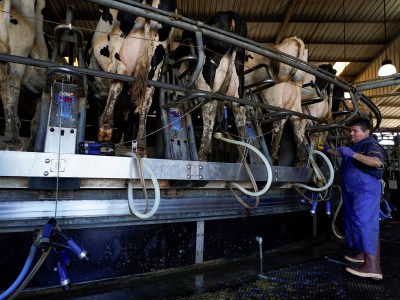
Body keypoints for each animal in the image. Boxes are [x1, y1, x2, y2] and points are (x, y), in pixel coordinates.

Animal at [87, 0, 177, 152]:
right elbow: (125, 123)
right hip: (157, 55)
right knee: (147, 96)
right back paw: (140, 142)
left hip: (112, 42)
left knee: (119, 72)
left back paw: (106, 125)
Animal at [169, 11, 247, 162]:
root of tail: (229, 13)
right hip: (238, 75)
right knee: (240, 110)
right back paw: (242, 155)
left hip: (207, 71)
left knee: (210, 106)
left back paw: (203, 154)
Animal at [244, 36, 310, 168]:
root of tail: (295, 40)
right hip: (294, 95)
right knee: (299, 121)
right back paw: (299, 160)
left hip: (273, 92)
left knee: (279, 118)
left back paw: (272, 155)